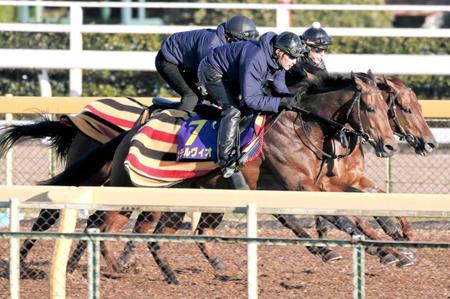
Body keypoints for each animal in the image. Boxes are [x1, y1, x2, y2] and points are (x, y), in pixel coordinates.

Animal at [44, 71, 400, 284]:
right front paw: (359, 250)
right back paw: (111, 266)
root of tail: (130, 133)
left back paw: (172, 274)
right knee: (99, 225)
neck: (301, 126)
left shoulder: (321, 183)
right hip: (131, 189)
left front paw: (393, 245)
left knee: (158, 233)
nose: (390, 145)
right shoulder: (299, 186)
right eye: (370, 108)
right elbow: (339, 216)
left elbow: (357, 205)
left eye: (388, 108)